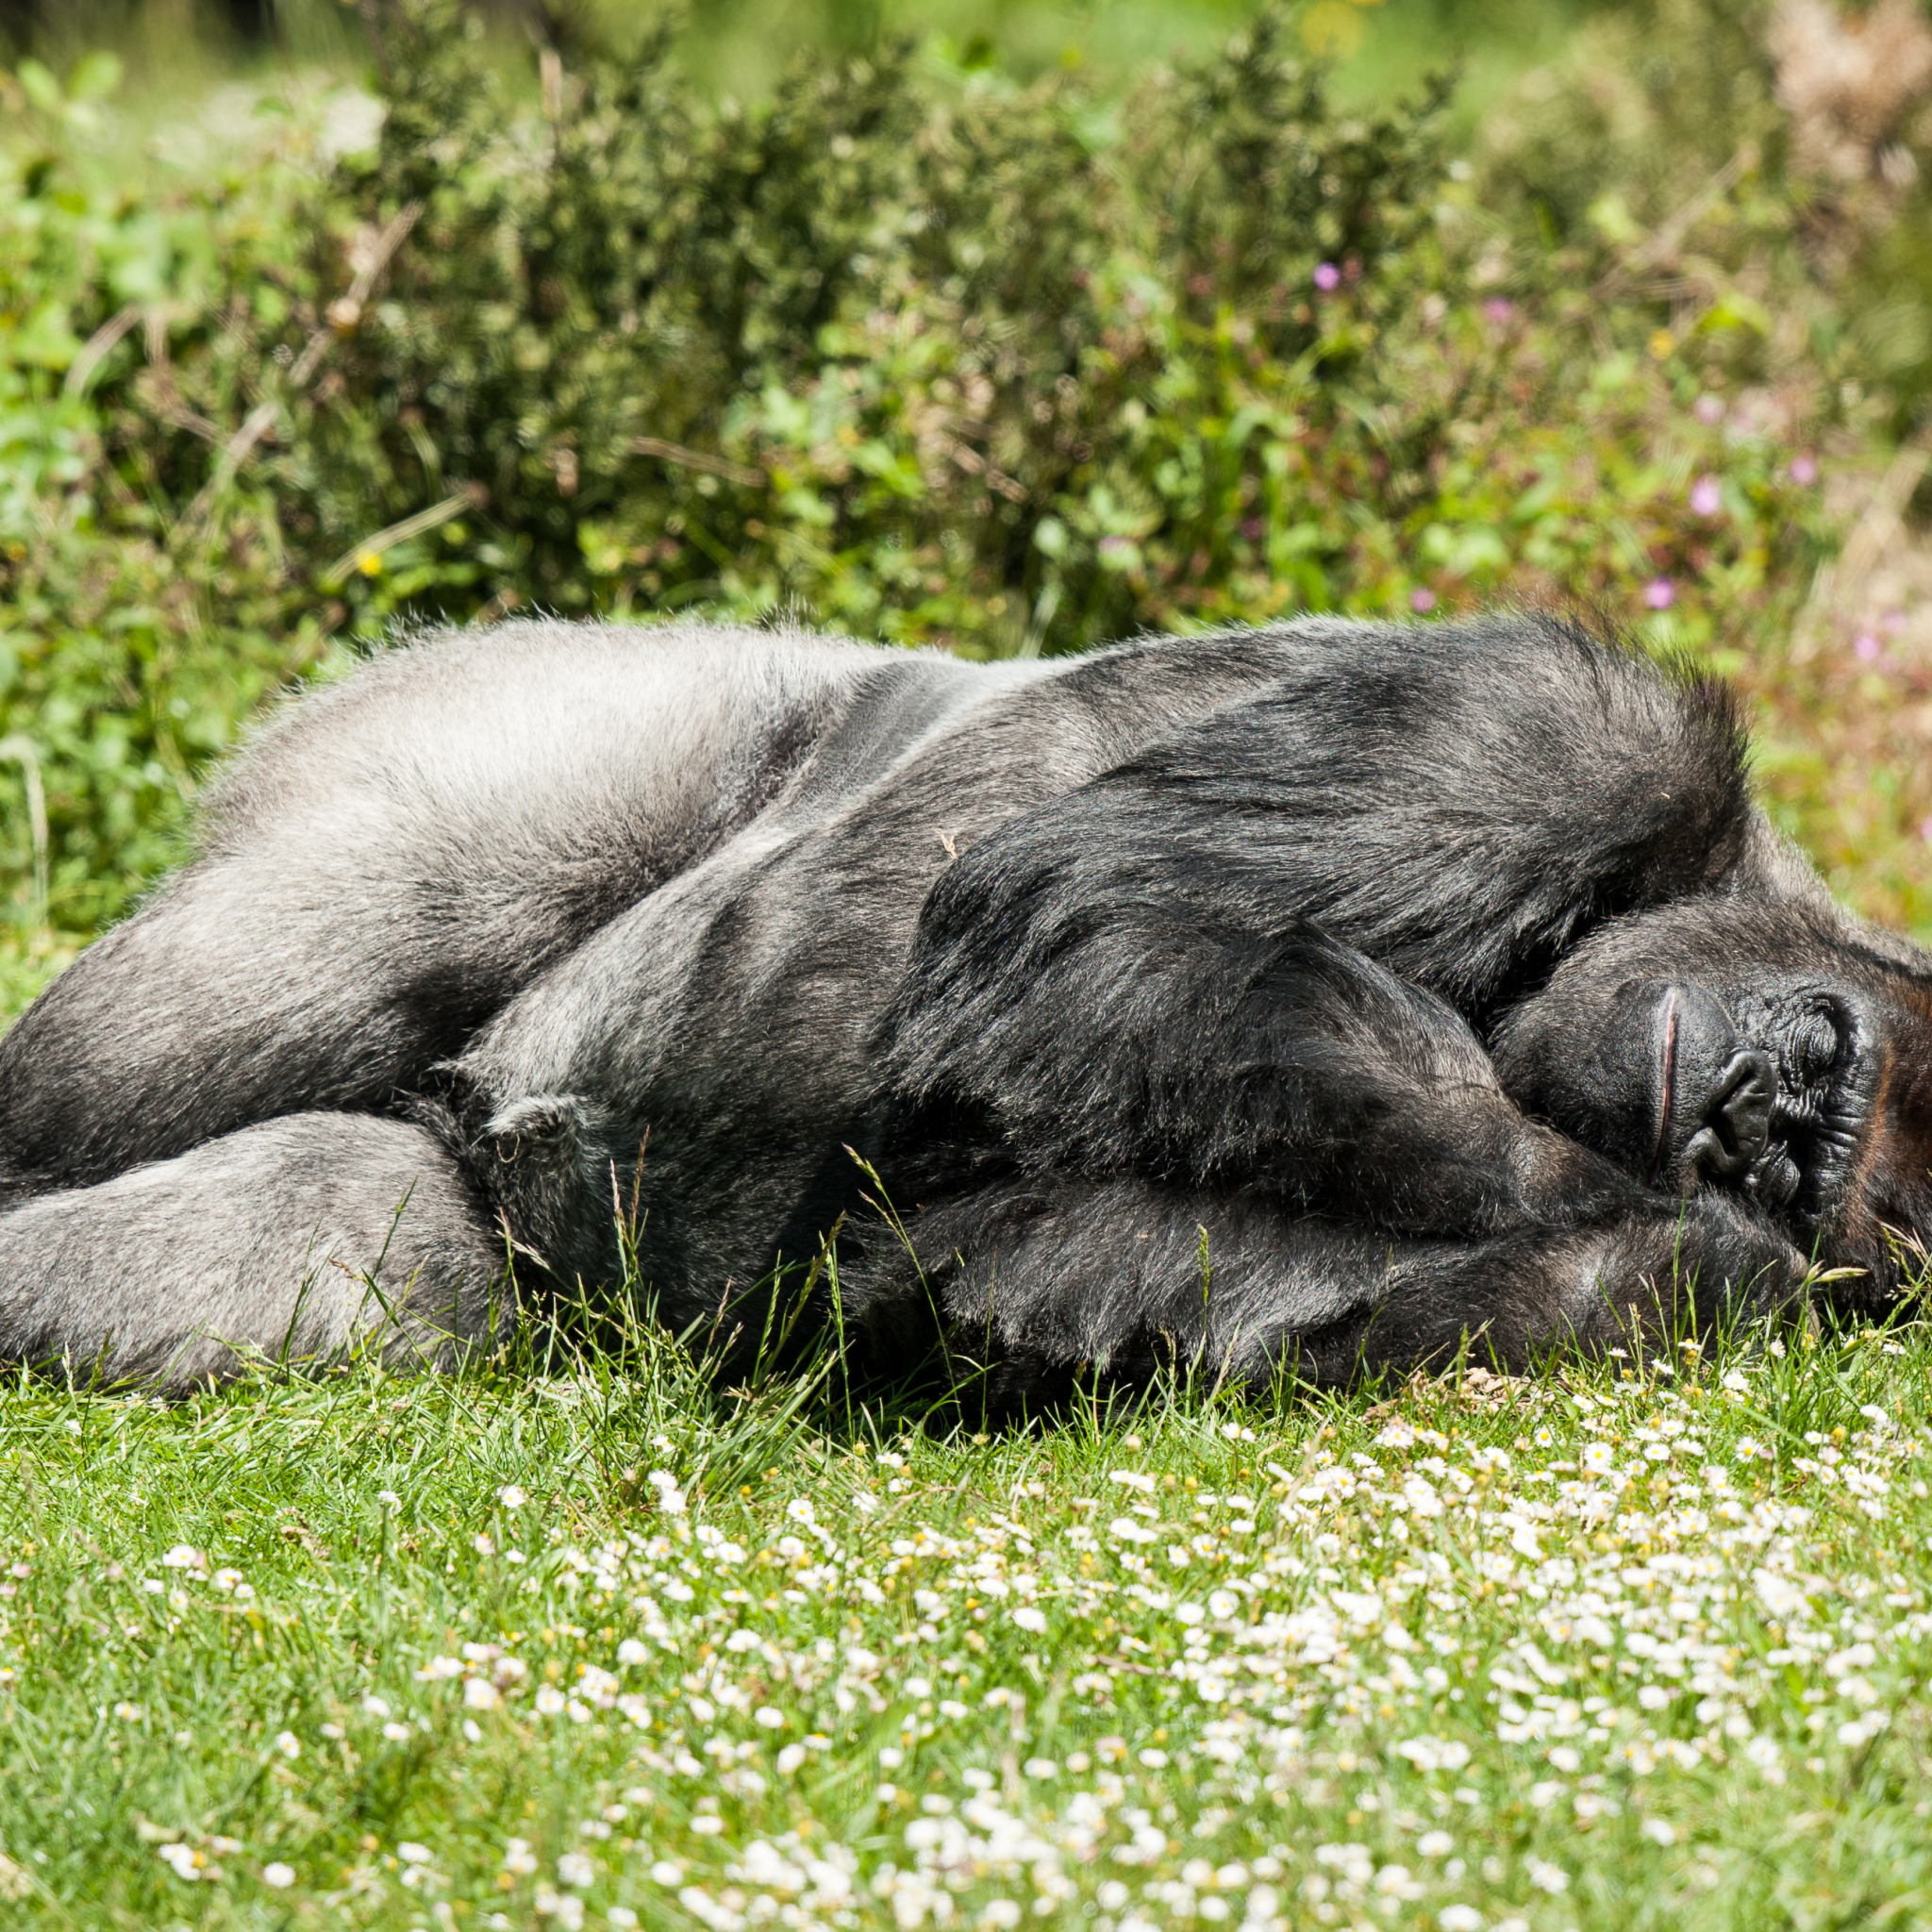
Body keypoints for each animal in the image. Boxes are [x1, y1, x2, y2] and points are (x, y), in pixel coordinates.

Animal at [4, 610, 1932, 1398]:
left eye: (1833, 1179)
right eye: (1836, 1071)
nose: (1763, 1122)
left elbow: (1009, 1272)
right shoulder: (1575, 733)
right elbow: (1084, 898)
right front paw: (1552, 1166)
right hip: (539, 703)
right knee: (253, 988)